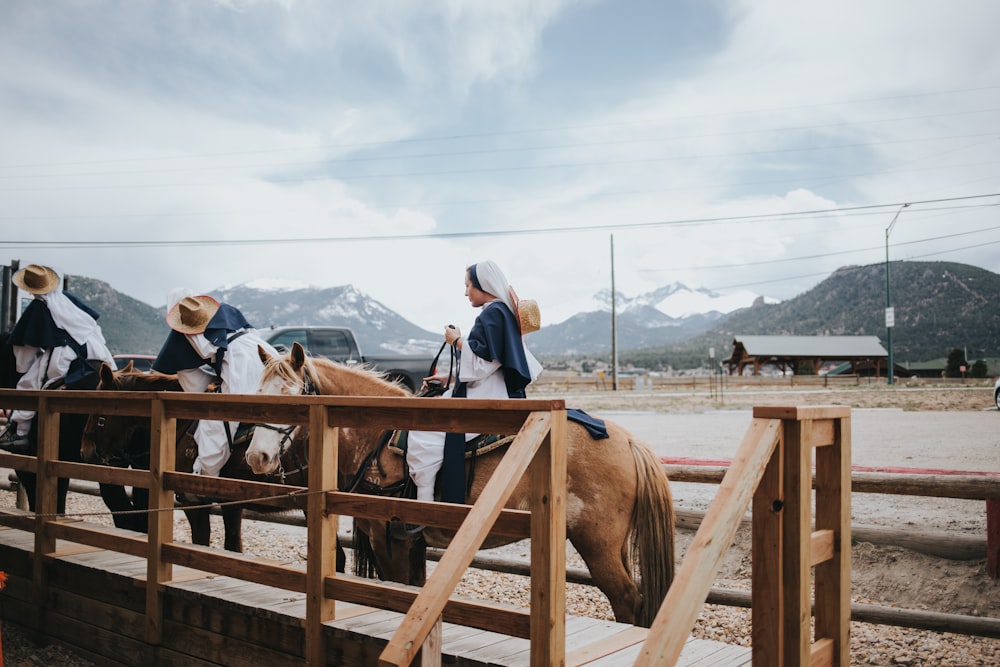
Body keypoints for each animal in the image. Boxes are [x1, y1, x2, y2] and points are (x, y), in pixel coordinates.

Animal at [245, 342, 676, 628]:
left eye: (293, 397)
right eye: (257, 394)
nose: (257, 457)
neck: (376, 436)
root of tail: (629, 441)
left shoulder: (389, 538)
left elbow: (397, 588)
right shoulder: (407, 544)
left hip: (597, 544)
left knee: (627, 599)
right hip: (612, 546)